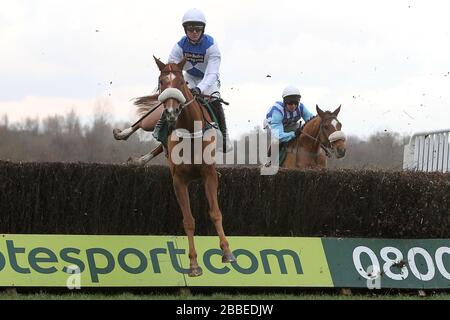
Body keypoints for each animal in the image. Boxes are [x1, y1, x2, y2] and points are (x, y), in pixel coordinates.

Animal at [114, 56, 237, 276]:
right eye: (162, 82)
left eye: (181, 82)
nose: (171, 112)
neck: (190, 133)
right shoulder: (179, 180)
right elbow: (188, 220)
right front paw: (194, 265)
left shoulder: (209, 174)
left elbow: (215, 213)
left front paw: (227, 253)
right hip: (154, 117)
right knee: (142, 123)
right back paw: (124, 134)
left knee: (157, 145)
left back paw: (139, 159)